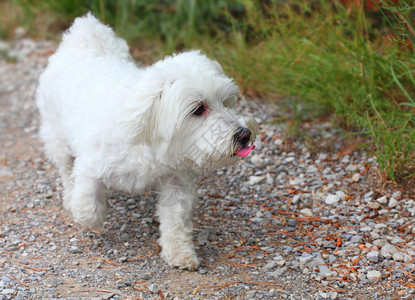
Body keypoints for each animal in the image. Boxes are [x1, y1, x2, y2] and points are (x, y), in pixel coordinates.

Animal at [36, 14, 256, 270]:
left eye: (226, 102)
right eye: (199, 109)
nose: (244, 134)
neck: (146, 136)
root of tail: (83, 40)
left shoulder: (175, 180)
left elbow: (175, 221)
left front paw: (179, 253)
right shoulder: (90, 165)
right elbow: (87, 204)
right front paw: (86, 212)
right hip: (56, 135)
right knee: (65, 169)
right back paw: (70, 196)